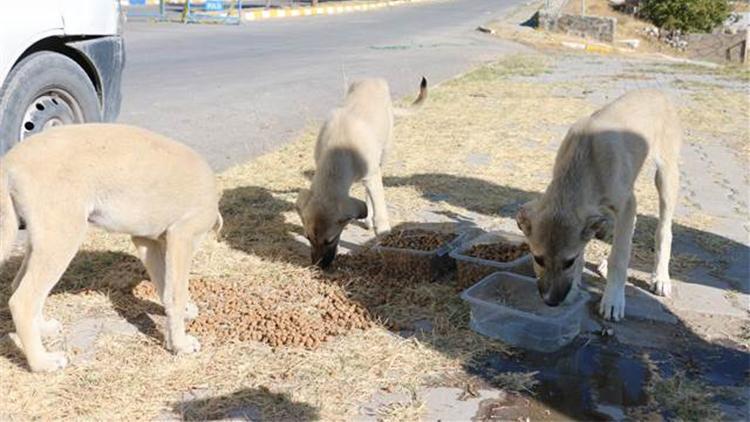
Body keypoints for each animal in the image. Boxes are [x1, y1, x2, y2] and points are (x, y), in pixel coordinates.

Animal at [0, 123, 223, 370]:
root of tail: (9, 161)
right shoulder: (181, 237)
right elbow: (176, 293)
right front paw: (181, 344)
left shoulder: (147, 242)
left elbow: (164, 285)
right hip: (63, 236)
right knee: (22, 300)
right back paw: (42, 363)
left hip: (42, 240)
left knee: (20, 285)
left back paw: (44, 328)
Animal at [300, 76, 428, 268]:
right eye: (308, 238)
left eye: (330, 240)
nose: (318, 266)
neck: (338, 147)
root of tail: (373, 78)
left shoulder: (372, 176)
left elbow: (380, 218)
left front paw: (383, 240)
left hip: (383, 152)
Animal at [520, 89, 684, 320]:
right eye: (538, 258)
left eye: (568, 261)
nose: (551, 302)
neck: (585, 159)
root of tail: (656, 91)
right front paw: (575, 289)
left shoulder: (627, 204)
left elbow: (620, 256)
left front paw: (613, 300)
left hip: (666, 177)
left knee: (663, 230)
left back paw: (660, 278)